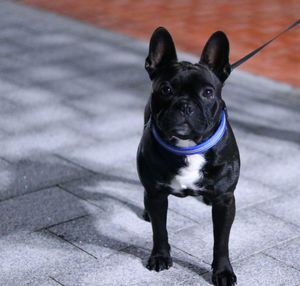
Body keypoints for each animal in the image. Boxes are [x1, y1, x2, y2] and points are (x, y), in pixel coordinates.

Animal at [137, 27, 240, 286]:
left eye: (208, 93)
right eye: (166, 89)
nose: (185, 105)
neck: (189, 147)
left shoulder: (225, 201)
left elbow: (221, 242)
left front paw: (222, 271)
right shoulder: (157, 195)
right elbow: (160, 231)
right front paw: (160, 257)